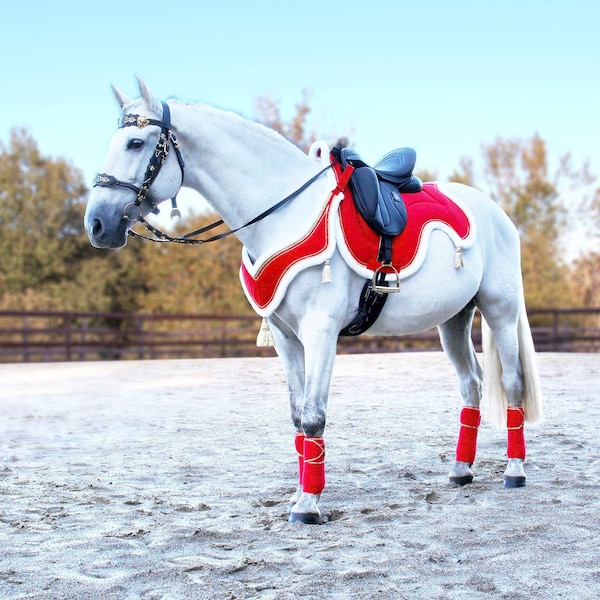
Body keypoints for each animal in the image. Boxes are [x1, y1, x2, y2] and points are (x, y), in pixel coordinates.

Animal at [85, 77, 544, 524]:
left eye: (136, 143)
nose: (96, 224)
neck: (284, 215)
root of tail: (497, 213)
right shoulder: (286, 338)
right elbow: (296, 416)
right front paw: (299, 493)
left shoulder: (321, 332)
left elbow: (313, 415)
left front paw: (308, 506)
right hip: (453, 320)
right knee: (471, 386)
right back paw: (461, 471)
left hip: (500, 311)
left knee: (511, 382)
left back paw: (514, 471)